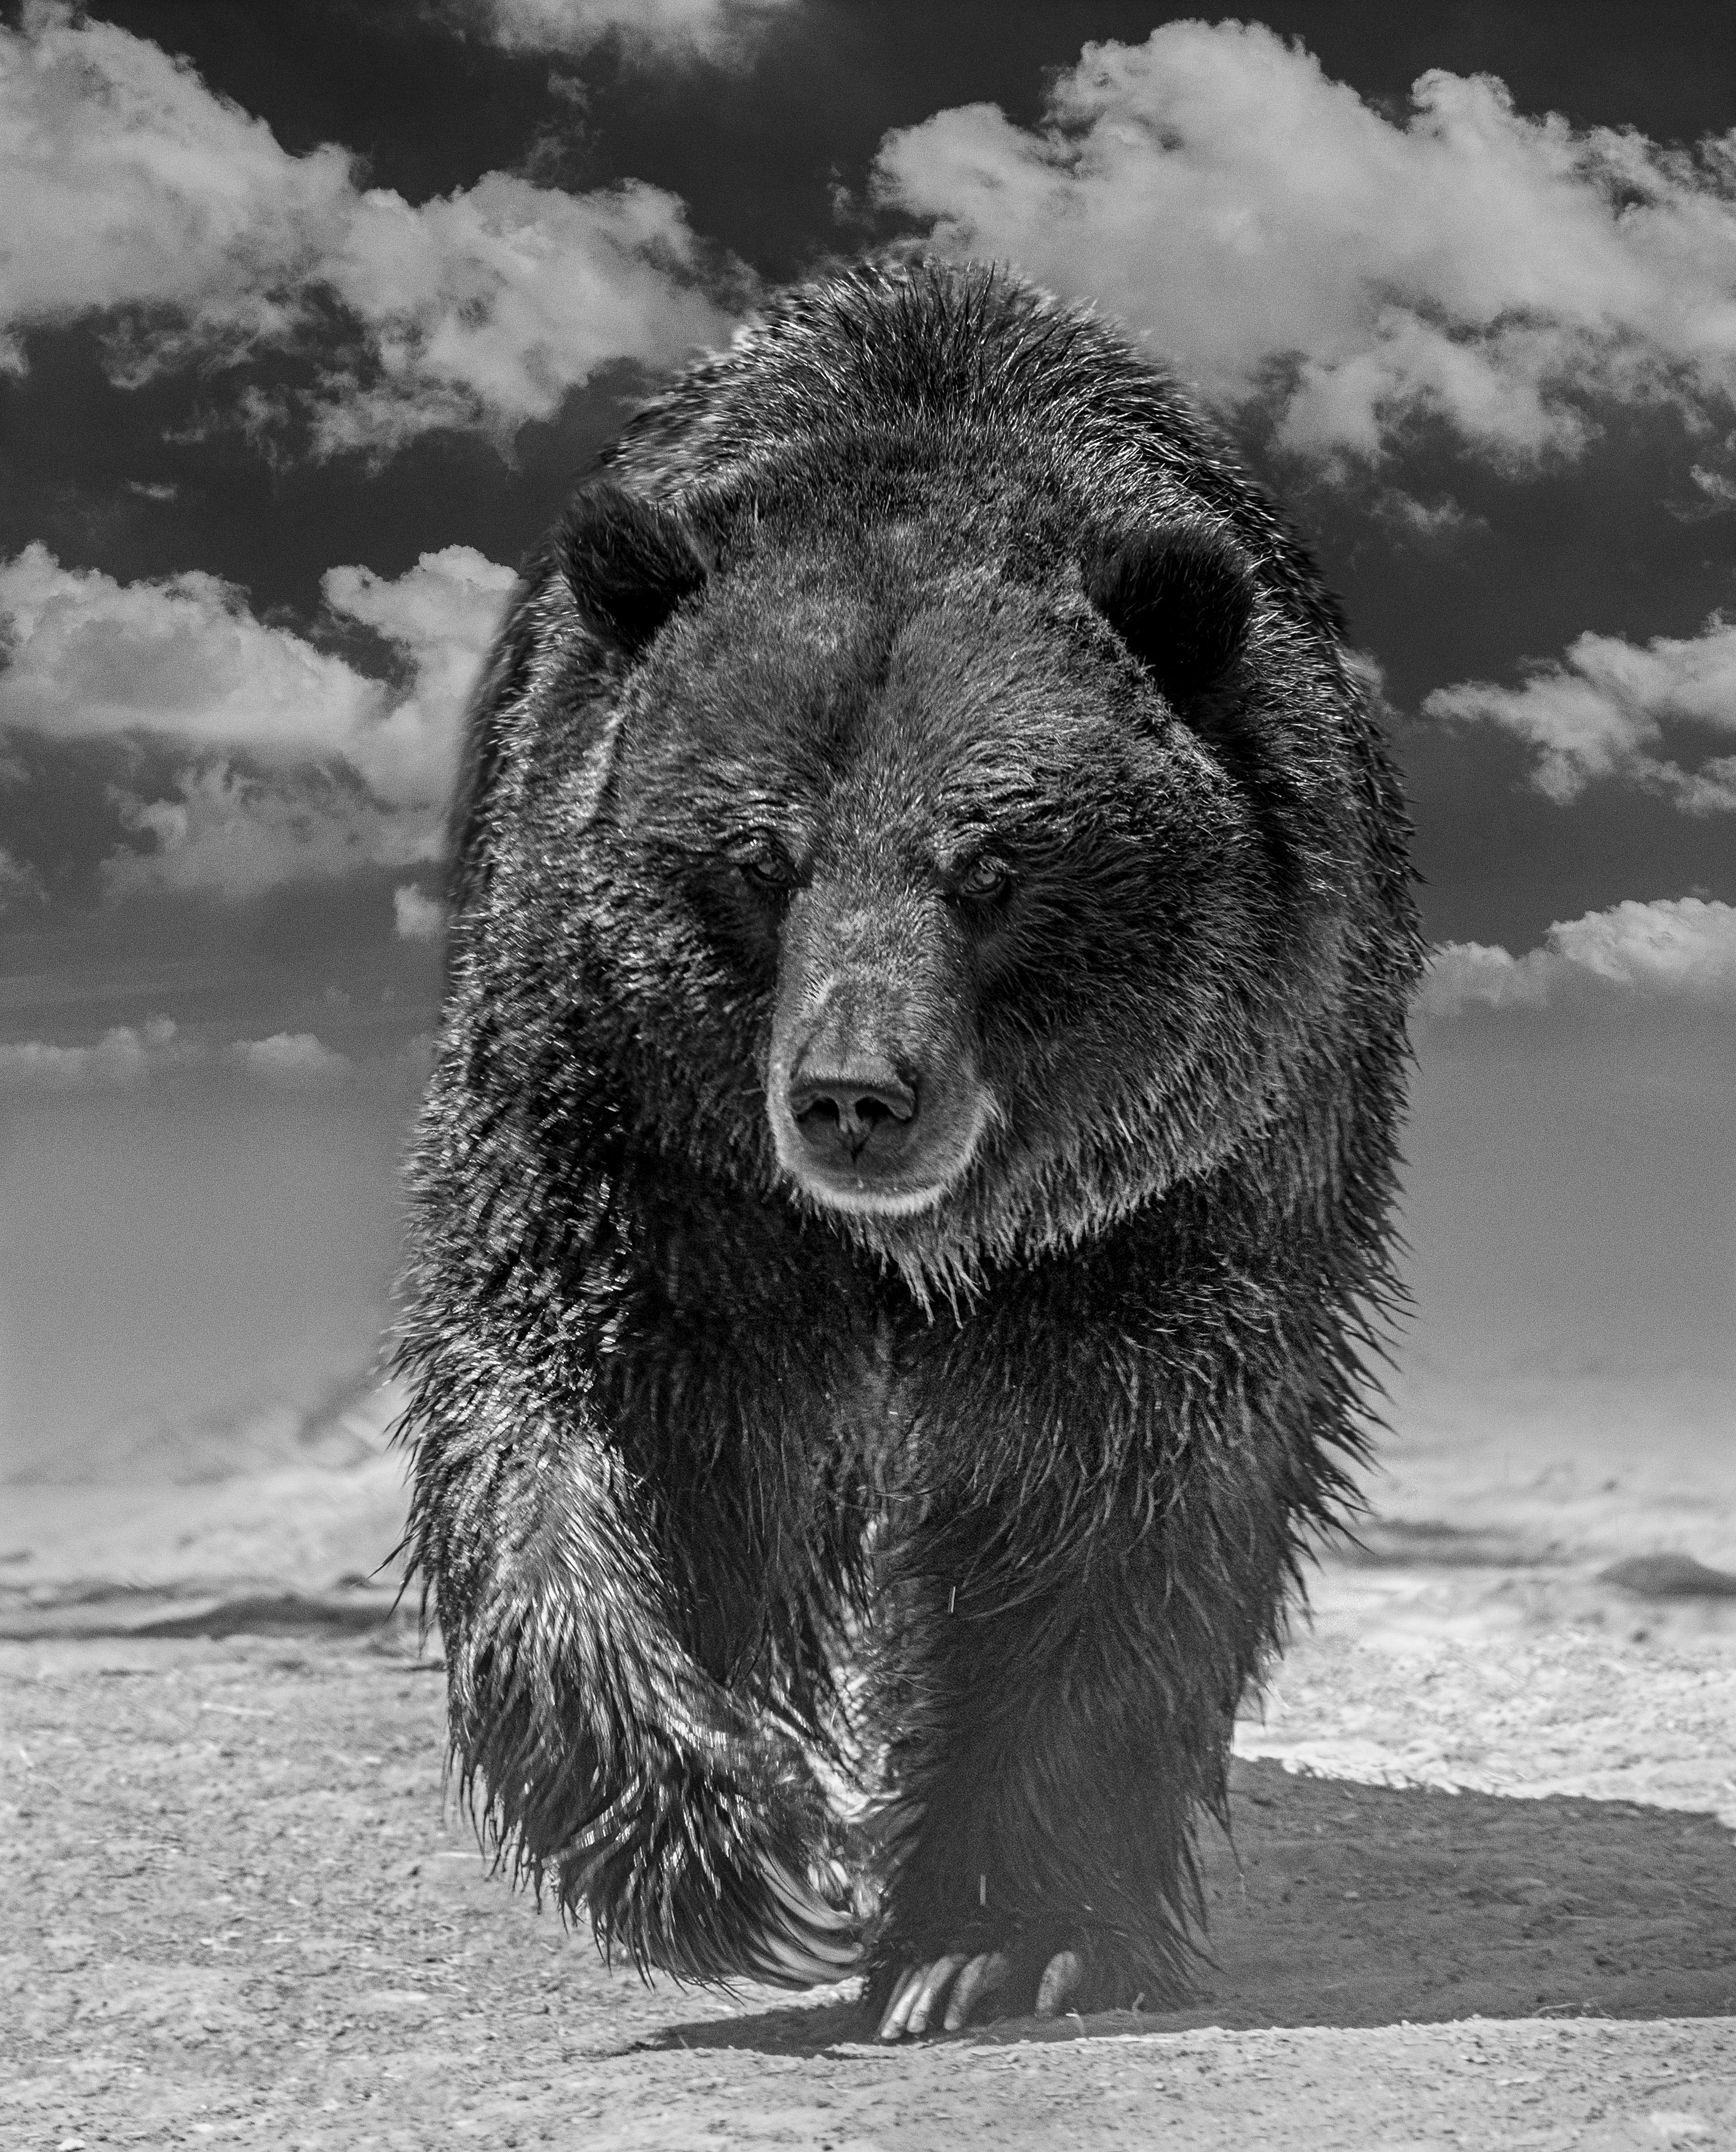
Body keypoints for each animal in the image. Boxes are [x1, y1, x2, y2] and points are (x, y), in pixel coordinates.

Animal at [396, 257, 1421, 2038]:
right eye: (761, 858)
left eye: (992, 866)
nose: (852, 1092)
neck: (926, 1243)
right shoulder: (640, 1146)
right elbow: (581, 1414)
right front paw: (736, 1844)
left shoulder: (1184, 1193)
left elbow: (1118, 1499)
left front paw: (999, 1929)